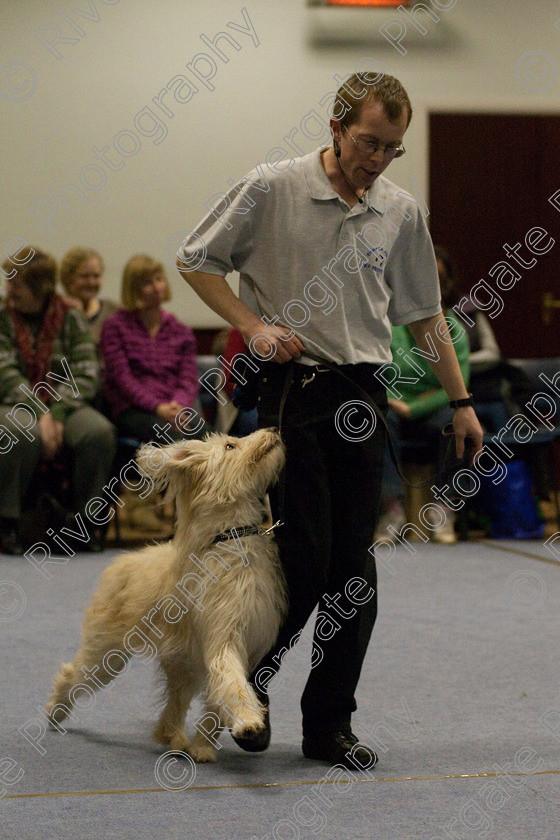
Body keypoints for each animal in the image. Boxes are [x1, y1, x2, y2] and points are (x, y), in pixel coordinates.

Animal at [46, 430, 286, 764]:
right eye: (230, 445)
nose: (273, 431)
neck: (232, 537)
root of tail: (122, 562)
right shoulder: (222, 640)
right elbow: (232, 684)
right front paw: (249, 722)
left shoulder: (248, 645)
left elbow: (219, 698)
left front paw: (203, 746)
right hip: (108, 652)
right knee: (74, 673)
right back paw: (55, 713)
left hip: (182, 663)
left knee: (173, 706)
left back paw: (175, 738)